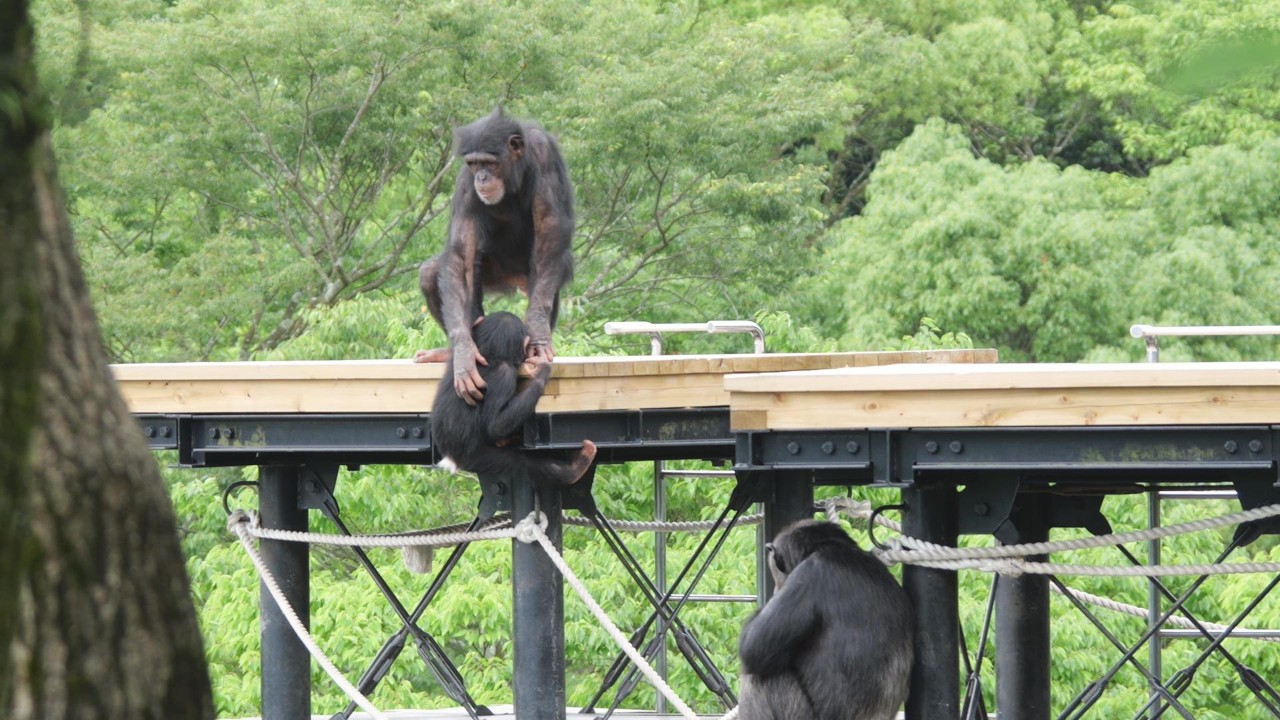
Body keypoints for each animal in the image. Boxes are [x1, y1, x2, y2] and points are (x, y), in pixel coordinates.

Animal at [416, 108, 575, 406]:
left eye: (489, 163)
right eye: (474, 164)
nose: (482, 177)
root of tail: (511, 279)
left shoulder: (544, 154)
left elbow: (549, 226)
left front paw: (538, 334)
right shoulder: (465, 183)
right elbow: (462, 253)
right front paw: (464, 354)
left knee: (545, 279)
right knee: (432, 273)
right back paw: (449, 351)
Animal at [430, 311, 594, 485]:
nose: (528, 352)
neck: (488, 353)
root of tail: (451, 459)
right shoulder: (505, 374)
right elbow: (496, 425)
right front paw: (542, 372)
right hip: (477, 459)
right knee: (522, 462)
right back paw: (574, 468)